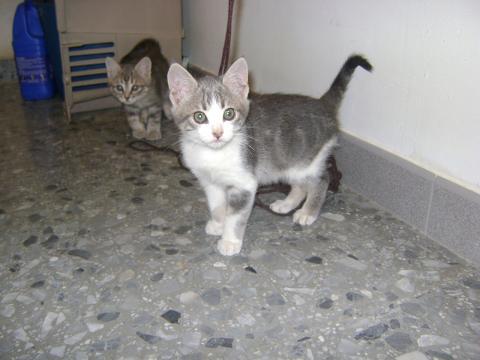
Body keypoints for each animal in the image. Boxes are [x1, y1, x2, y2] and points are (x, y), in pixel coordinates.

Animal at [167, 54, 374, 255]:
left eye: (229, 114)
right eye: (199, 116)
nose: (217, 133)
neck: (214, 154)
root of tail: (322, 104)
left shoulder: (244, 184)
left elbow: (236, 217)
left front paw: (230, 241)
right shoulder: (210, 182)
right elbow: (216, 205)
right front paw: (218, 223)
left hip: (306, 161)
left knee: (322, 180)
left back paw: (308, 212)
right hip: (288, 162)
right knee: (300, 186)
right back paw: (286, 204)